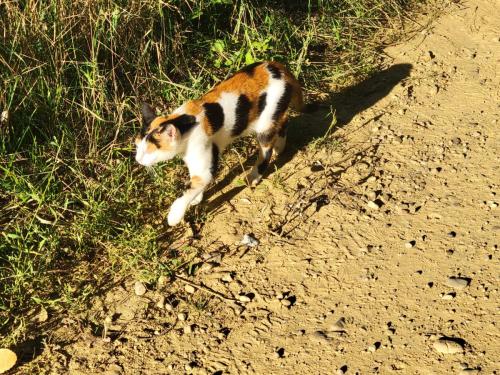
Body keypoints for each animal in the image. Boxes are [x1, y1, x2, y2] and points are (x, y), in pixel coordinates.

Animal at [137, 61, 306, 226]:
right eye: (137, 147)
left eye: (148, 151)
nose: (137, 159)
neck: (184, 123)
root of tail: (280, 68)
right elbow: (195, 182)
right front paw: (196, 198)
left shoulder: (204, 158)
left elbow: (192, 188)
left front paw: (174, 216)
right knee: (284, 121)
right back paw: (280, 148)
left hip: (266, 123)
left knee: (266, 150)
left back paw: (254, 175)